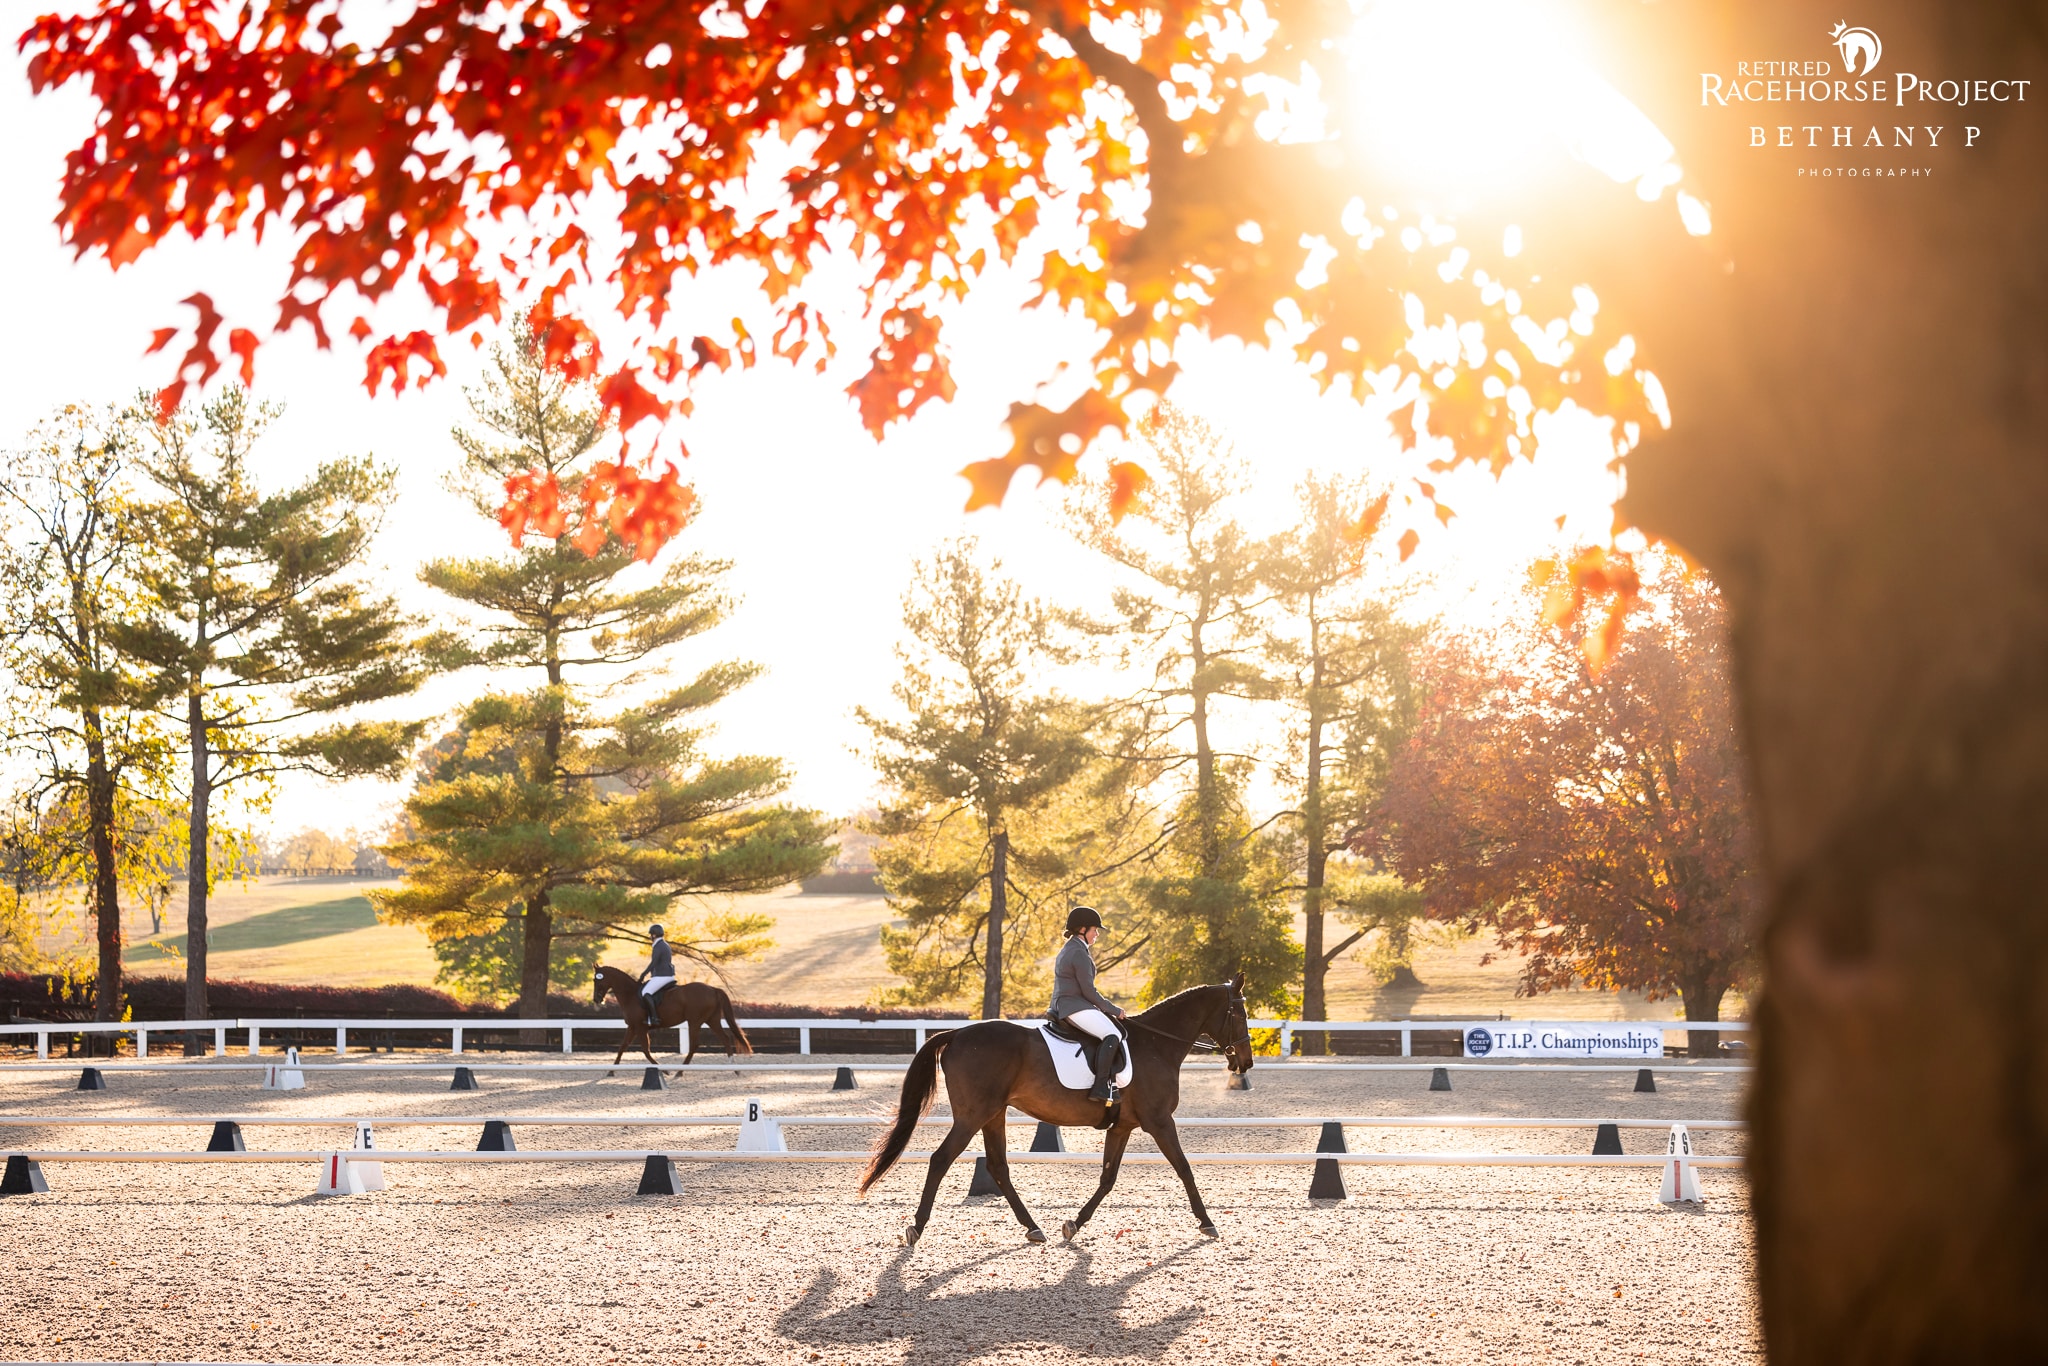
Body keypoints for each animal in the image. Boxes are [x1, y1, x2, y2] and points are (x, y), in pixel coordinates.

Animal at [593, 966, 753, 1073]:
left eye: (596, 980)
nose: (596, 999)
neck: (630, 994)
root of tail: (713, 989)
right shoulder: (632, 1027)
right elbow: (622, 1047)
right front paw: (611, 1071)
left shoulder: (640, 1027)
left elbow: (645, 1050)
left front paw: (663, 1070)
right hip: (711, 1020)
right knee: (725, 1038)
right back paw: (735, 1069)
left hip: (695, 1022)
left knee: (695, 1045)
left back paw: (679, 1072)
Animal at [860, 970, 1253, 1253]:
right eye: (1239, 1013)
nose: (1245, 1063)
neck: (1156, 1044)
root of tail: (955, 1034)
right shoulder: (1159, 1121)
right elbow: (1185, 1168)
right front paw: (1207, 1222)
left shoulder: (1122, 1126)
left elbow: (1108, 1178)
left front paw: (1074, 1225)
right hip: (973, 1115)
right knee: (942, 1159)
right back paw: (916, 1227)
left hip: (993, 1114)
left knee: (998, 1166)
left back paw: (1033, 1228)